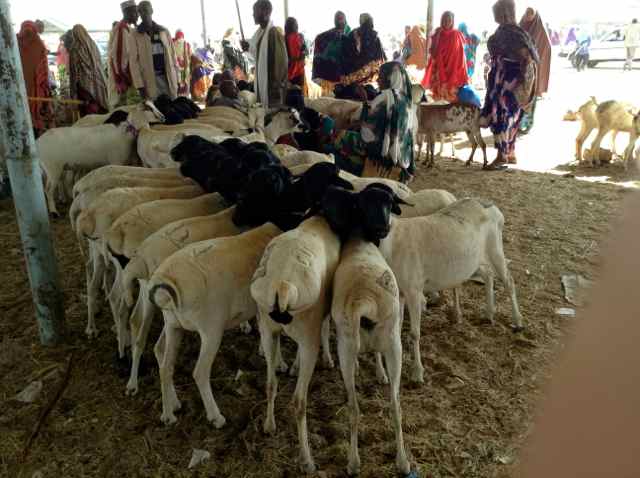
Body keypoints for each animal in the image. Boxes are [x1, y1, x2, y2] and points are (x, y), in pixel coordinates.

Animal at [148, 222, 286, 428]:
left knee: (164, 361)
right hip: (211, 328)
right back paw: (216, 417)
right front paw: (280, 363)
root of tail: (168, 278)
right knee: (200, 372)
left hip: (173, 325)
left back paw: (169, 413)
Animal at [331, 238, 410, 476]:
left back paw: (353, 463)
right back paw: (402, 462)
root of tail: (364, 300)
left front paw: (377, 372)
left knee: (353, 408)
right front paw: (380, 373)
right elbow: (376, 351)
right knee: (395, 406)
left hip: (346, 348)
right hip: (393, 344)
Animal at [378, 198, 524, 383]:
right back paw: (489, 314)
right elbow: (396, 329)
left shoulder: (413, 290)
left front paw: (417, 373)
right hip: (475, 259)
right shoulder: (400, 292)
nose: (382, 229)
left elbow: (414, 333)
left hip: (495, 249)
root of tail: (491, 206)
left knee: (509, 282)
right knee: (488, 274)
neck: (392, 243)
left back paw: (518, 322)